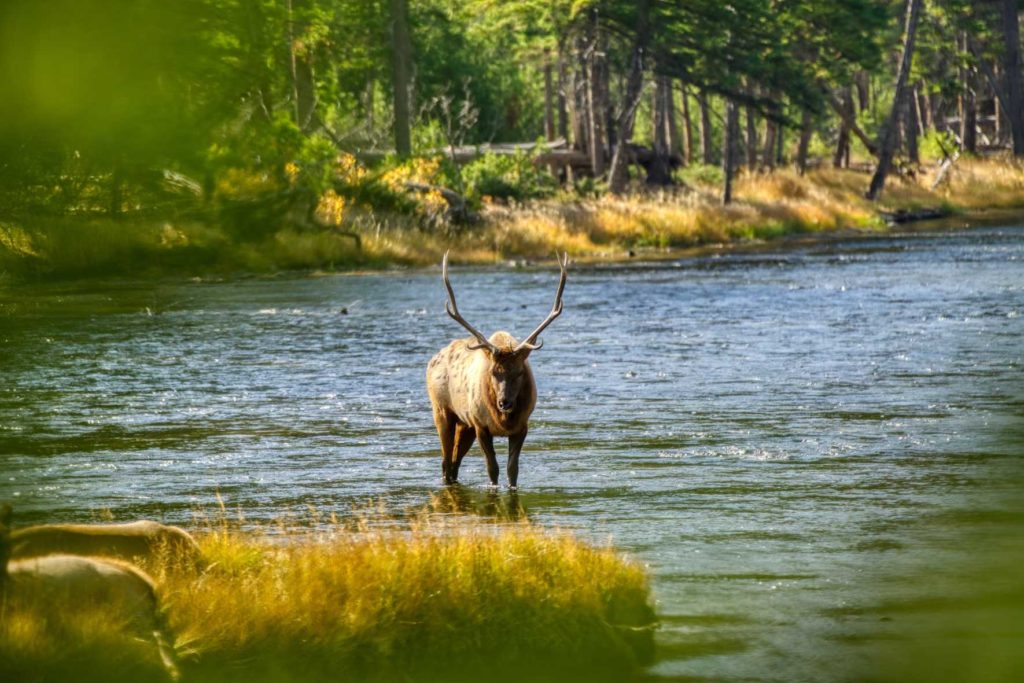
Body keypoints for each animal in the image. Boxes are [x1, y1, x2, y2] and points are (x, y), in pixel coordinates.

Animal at [423, 253, 569, 489]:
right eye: (493, 372)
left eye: (519, 372)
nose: (505, 403)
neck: (503, 421)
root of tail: (432, 360)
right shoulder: (481, 425)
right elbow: (492, 469)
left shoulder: (522, 426)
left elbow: (512, 470)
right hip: (442, 412)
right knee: (445, 462)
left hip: (464, 424)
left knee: (454, 463)